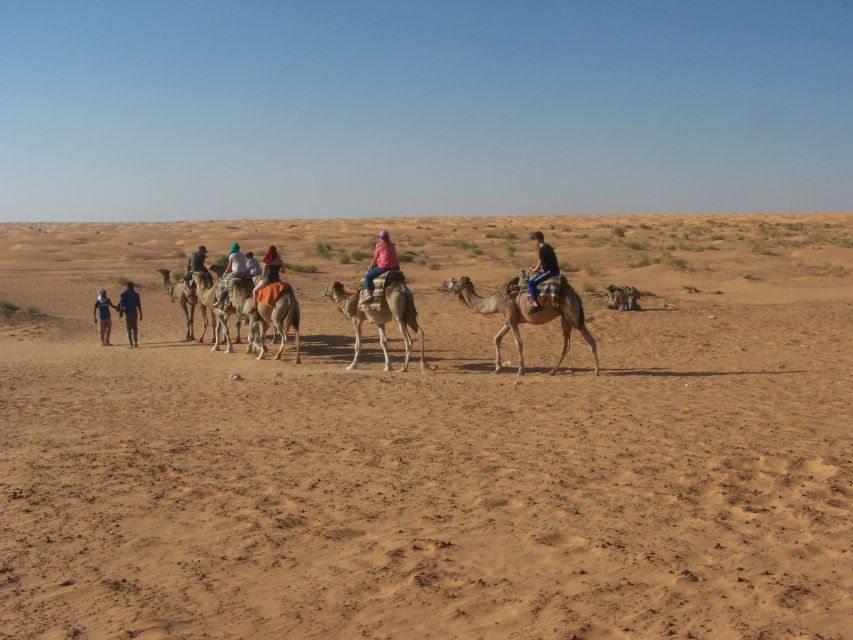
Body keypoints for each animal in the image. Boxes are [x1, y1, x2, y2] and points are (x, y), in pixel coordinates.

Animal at [446, 274, 600, 376]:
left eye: (455, 281)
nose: (447, 285)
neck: (496, 301)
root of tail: (575, 294)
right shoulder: (509, 320)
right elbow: (496, 339)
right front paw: (497, 368)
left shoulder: (511, 318)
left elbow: (518, 343)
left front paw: (520, 370)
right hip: (565, 318)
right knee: (567, 345)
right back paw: (553, 371)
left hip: (572, 315)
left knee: (590, 340)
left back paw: (596, 371)